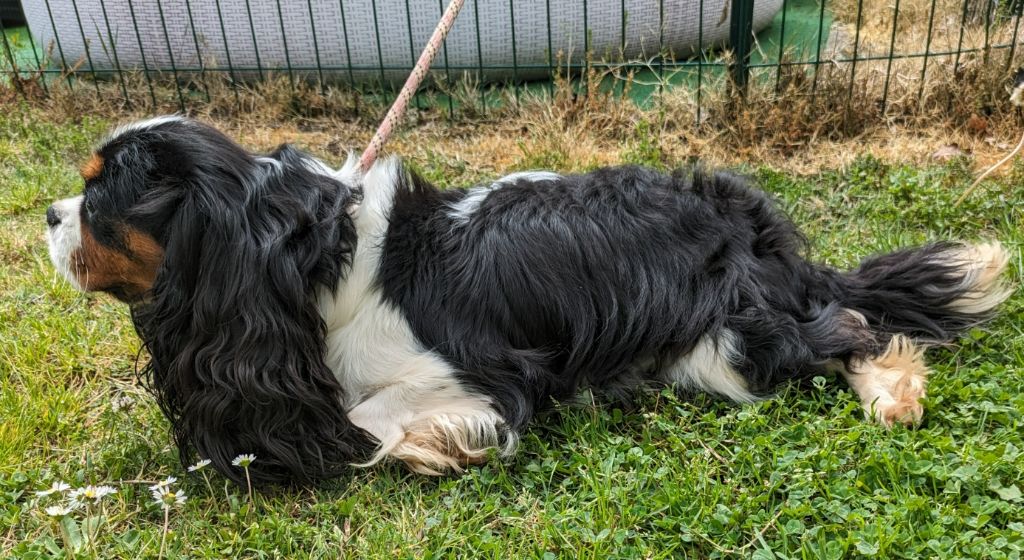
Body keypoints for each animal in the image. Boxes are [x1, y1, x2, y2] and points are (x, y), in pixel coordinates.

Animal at [46, 115, 1007, 487]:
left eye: (100, 199)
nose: (49, 216)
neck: (299, 257)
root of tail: (743, 220)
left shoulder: (489, 371)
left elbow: (368, 419)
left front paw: (434, 444)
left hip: (725, 347)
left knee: (850, 326)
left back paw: (890, 393)